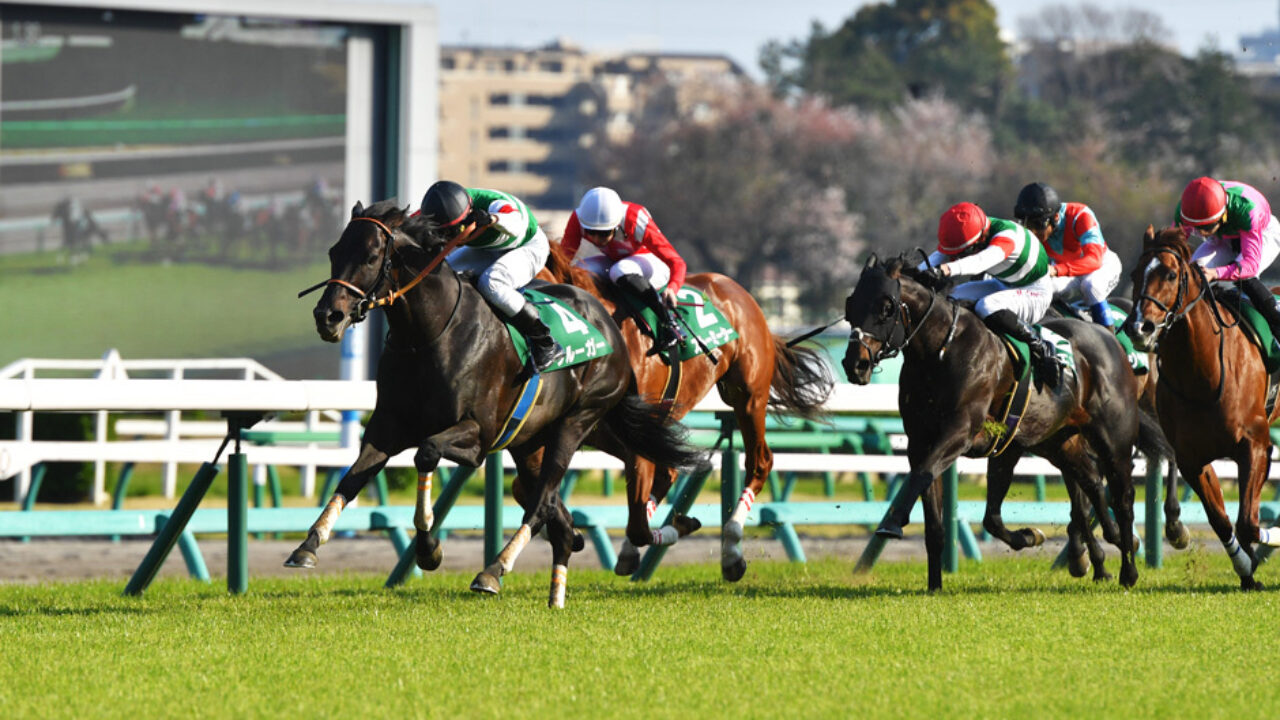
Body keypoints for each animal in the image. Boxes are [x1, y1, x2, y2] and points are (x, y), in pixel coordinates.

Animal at [284, 197, 706, 604]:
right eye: (334, 251)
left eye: (372, 256)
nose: (328, 316)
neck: (429, 334)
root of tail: (610, 326)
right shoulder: (388, 425)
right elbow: (353, 476)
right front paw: (308, 545)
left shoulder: (477, 436)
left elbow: (425, 453)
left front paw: (429, 549)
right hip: (530, 441)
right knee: (557, 515)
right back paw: (557, 592)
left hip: (577, 422)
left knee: (543, 504)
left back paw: (493, 570)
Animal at [542, 240, 834, 576]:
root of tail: (738, 290)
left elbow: (639, 514)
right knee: (666, 476)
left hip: (748, 398)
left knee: (759, 462)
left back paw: (731, 550)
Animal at [839, 253, 1141, 589]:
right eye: (851, 305)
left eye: (886, 307)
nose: (855, 364)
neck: (941, 350)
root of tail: (1109, 336)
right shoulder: (923, 442)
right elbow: (939, 519)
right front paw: (935, 585)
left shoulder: (959, 432)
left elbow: (920, 476)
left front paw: (891, 522)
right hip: (1056, 441)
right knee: (1090, 482)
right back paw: (1109, 544)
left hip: (1113, 437)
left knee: (1123, 496)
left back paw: (1129, 570)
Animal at [1121, 225, 1280, 589]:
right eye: (1135, 274)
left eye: (1169, 274)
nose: (1138, 327)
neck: (1202, 374)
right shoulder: (1193, 459)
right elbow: (1222, 521)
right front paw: (1246, 569)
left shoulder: (1255, 444)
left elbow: (1249, 522)